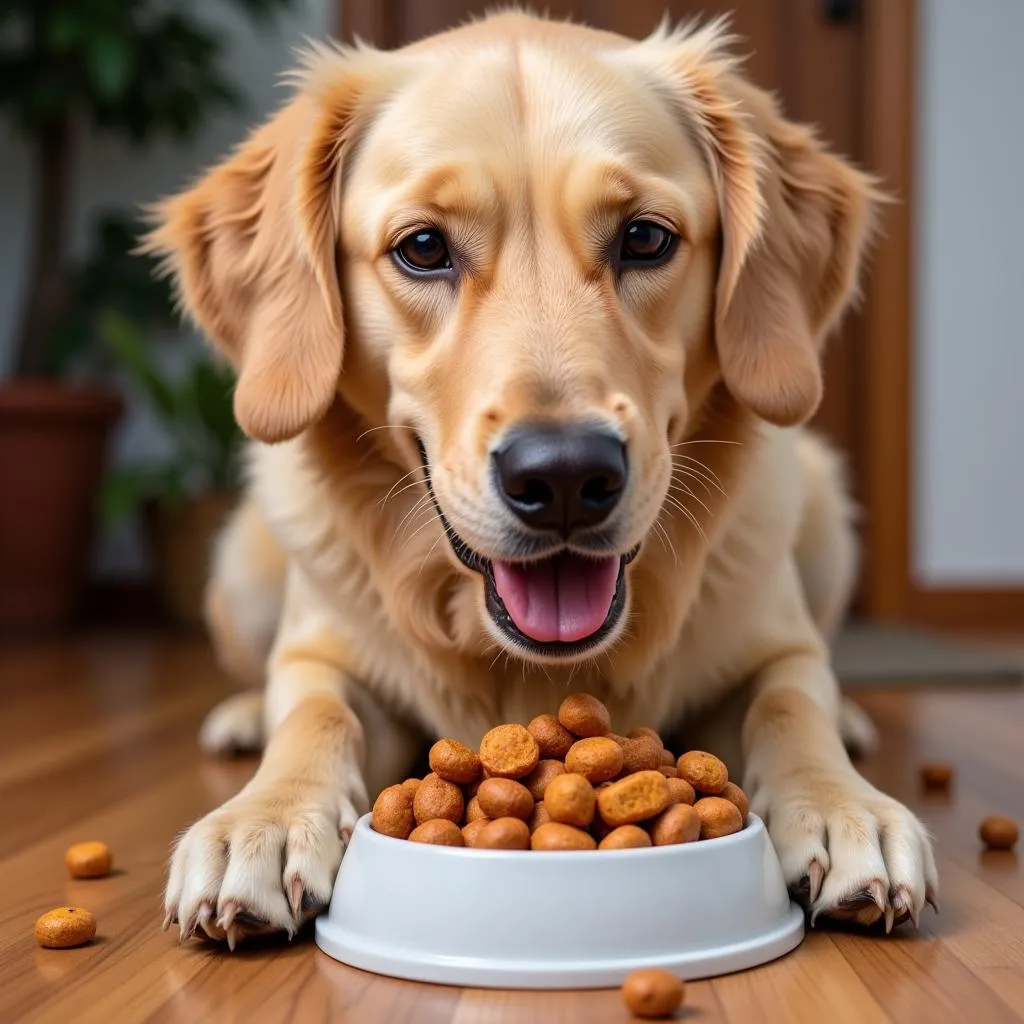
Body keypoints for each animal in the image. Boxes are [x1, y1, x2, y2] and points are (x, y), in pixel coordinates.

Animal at [144, 9, 937, 950]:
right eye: (422, 248)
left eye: (645, 238)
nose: (563, 475)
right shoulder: (322, 656)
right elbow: (312, 714)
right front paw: (261, 820)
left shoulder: (776, 647)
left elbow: (790, 704)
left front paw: (845, 805)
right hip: (242, 567)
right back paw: (240, 718)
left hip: (823, 511)